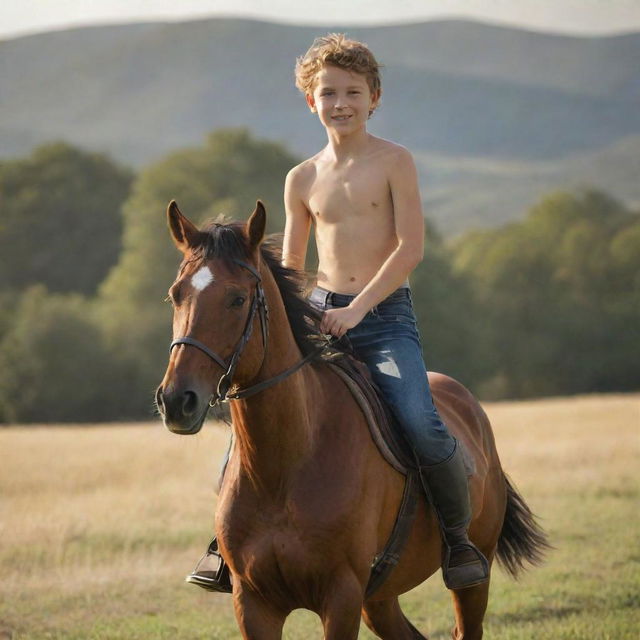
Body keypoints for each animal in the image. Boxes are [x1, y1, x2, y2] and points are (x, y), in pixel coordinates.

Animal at [158, 201, 548, 640]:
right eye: (175, 295)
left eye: (237, 299)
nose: (176, 401)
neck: (285, 466)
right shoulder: (253, 602)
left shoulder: (341, 595)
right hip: (378, 599)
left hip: (471, 576)